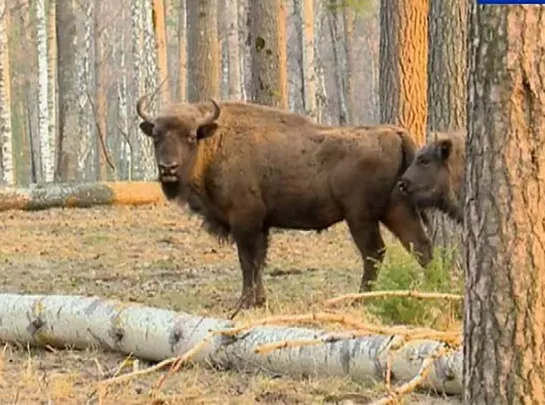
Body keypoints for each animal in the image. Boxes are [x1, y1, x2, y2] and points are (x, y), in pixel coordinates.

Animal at [137, 97, 434, 310]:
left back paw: (360, 298)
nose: (168, 168)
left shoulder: (244, 221)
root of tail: (394, 133)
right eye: (156, 136)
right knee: (420, 246)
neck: (215, 142)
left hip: (361, 217)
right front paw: (259, 300)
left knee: (375, 252)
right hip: (397, 210)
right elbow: (259, 261)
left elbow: (248, 261)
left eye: (190, 137)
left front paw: (245, 303)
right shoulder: (261, 225)